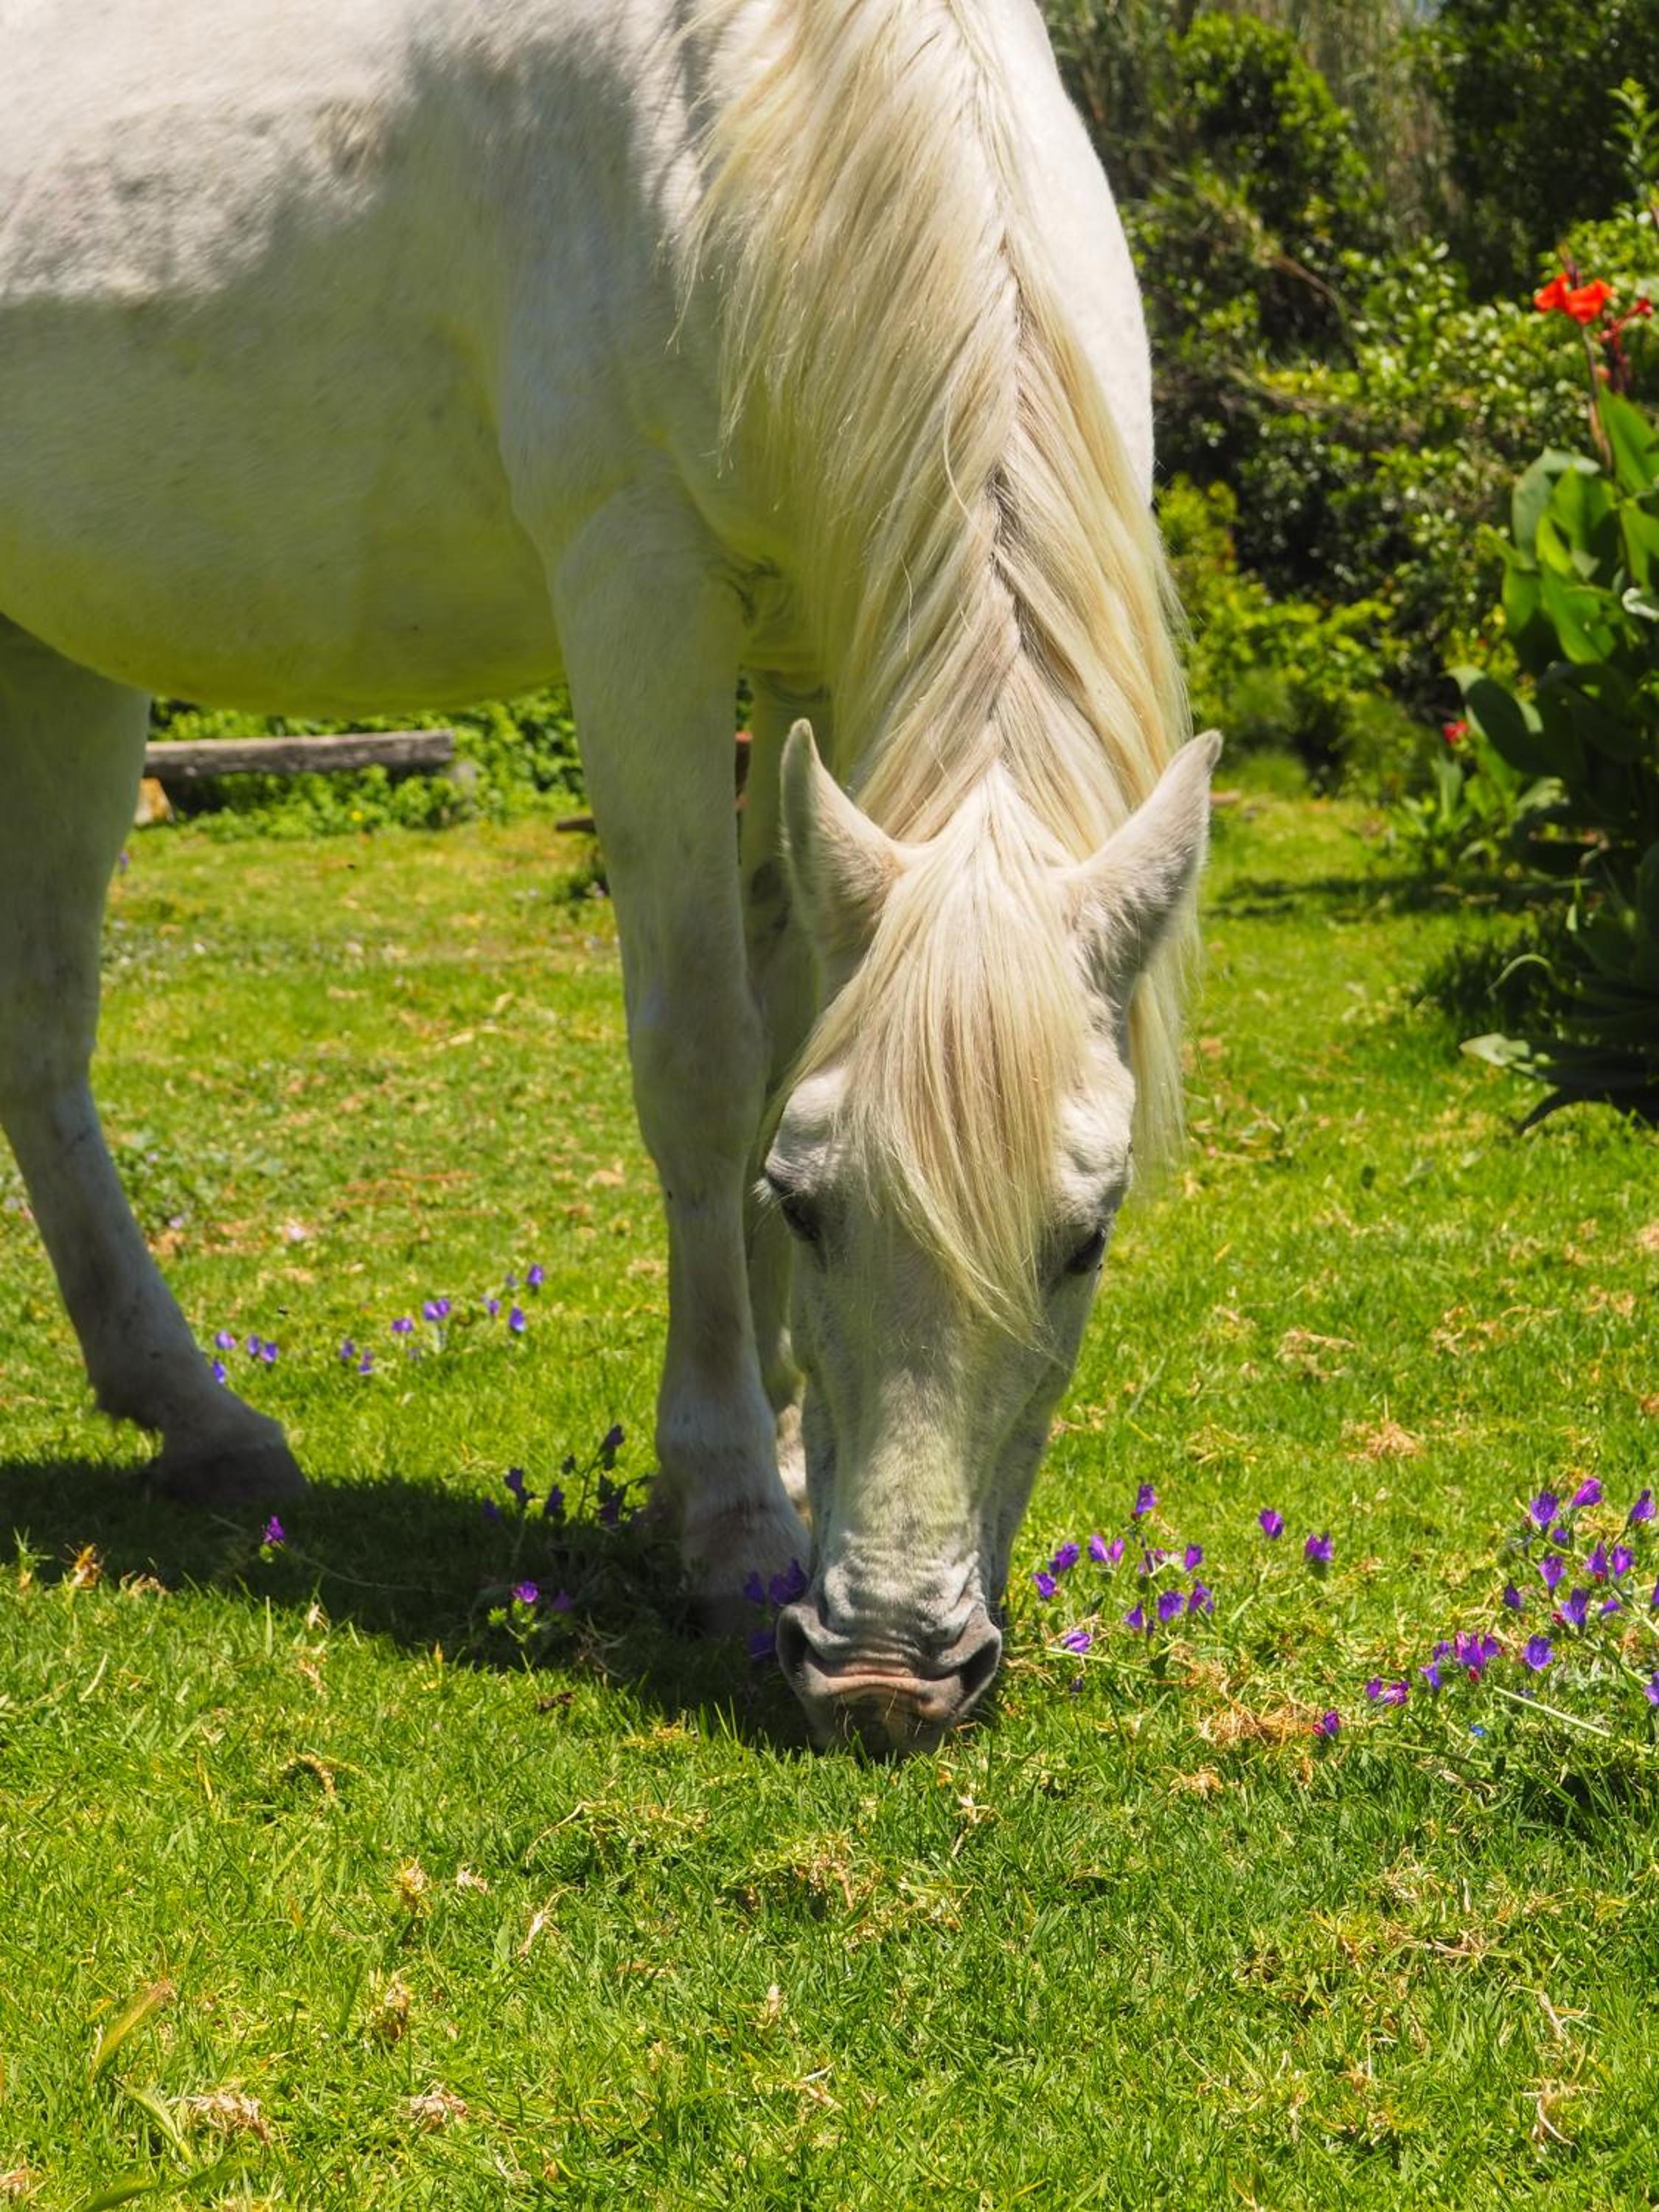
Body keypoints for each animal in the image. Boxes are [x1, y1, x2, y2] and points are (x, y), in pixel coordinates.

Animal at [0, 0, 1217, 1750]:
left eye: (1086, 1241)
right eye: (816, 1208)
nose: (886, 1674)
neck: (769, 106)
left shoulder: (809, 656)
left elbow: (785, 1033)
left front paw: (788, 1453)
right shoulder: (641, 590)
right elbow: (702, 1061)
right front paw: (728, 1511)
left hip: (61, 655)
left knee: (39, 1035)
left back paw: (199, 1417)